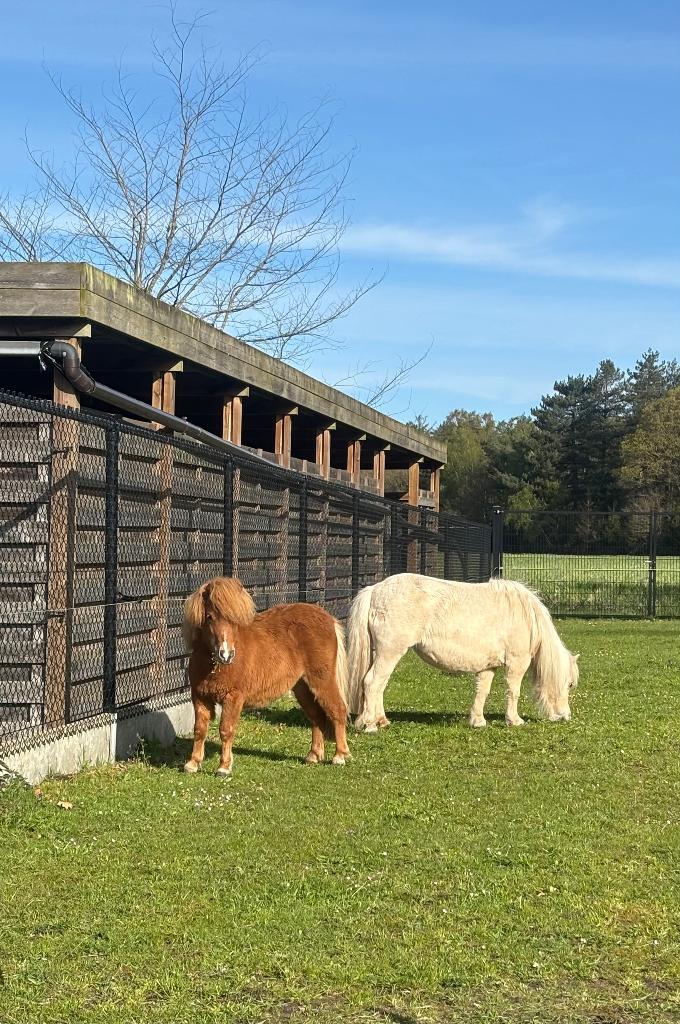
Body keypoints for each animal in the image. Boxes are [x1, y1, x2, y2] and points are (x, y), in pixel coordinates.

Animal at [182, 577, 351, 775]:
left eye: (234, 620)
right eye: (209, 617)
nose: (226, 654)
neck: (214, 666)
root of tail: (328, 618)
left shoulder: (233, 698)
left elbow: (226, 730)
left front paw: (224, 767)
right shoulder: (199, 696)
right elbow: (199, 729)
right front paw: (192, 763)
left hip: (322, 680)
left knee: (337, 710)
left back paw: (340, 756)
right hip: (302, 687)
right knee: (317, 717)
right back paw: (313, 756)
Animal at [347, 573, 579, 733]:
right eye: (569, 684)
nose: (565, 716)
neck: (526, 617)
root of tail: (375, 590)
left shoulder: (489, 666)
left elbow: (482, 692)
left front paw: (478, 721)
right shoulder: (517, 663)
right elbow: (513, 692)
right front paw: (514, 720)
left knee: (379, 685)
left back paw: (381, 720)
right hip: (390, 652)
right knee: (372, 682)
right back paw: (370, 725)